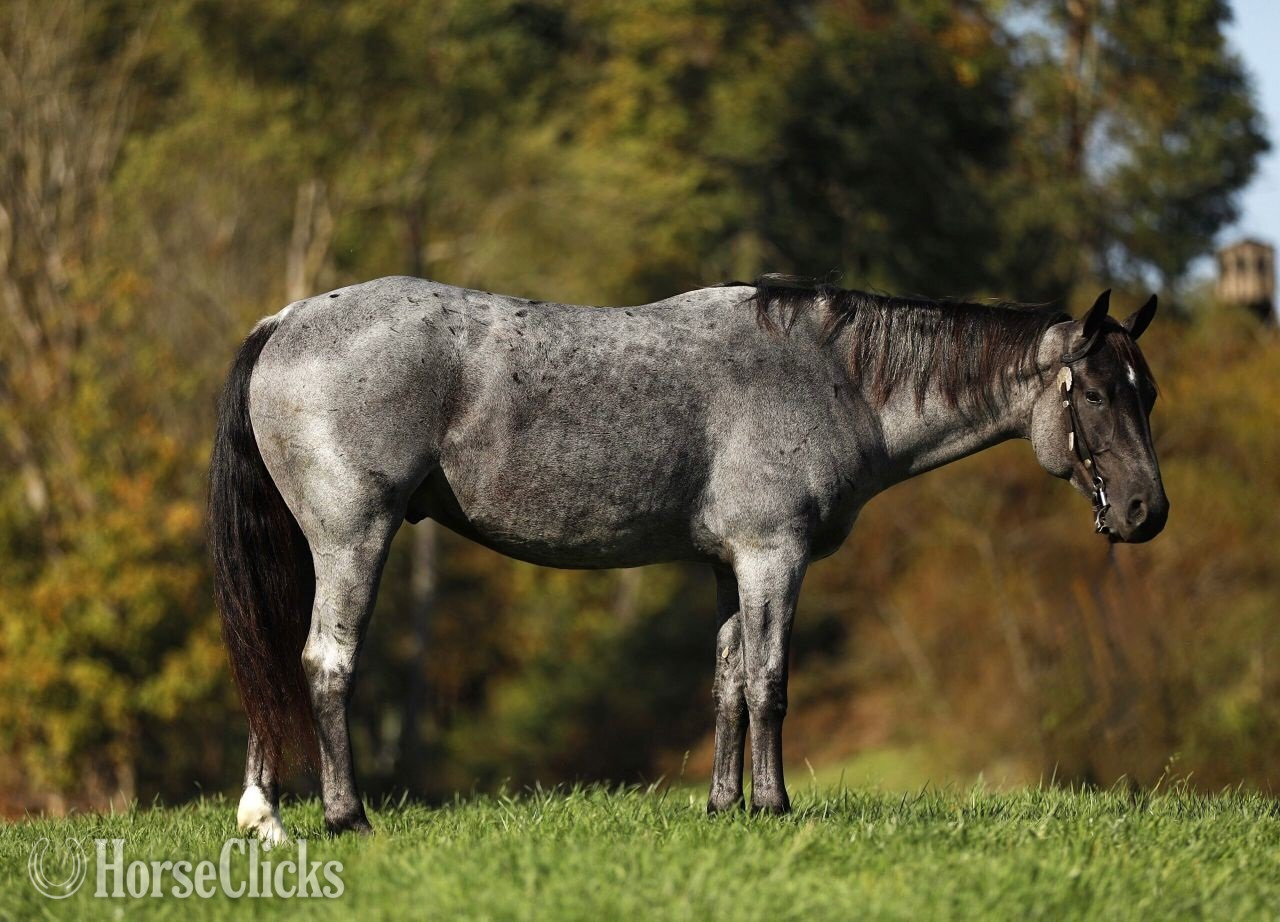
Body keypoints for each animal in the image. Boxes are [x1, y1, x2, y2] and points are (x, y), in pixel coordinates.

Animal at [209, 275, 1166, 842]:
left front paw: (724, 807)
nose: (1147, 512)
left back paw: (266, 816)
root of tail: (287, 319)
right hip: (352, 539)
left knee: (275, 663)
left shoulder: (727, 566)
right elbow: (771, 684)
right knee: (324, 665)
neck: (831, 377)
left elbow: (728, 687)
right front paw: (775, 807)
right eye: (1095, 393)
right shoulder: (774, 556)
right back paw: (345, 816)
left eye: (1146, 391)